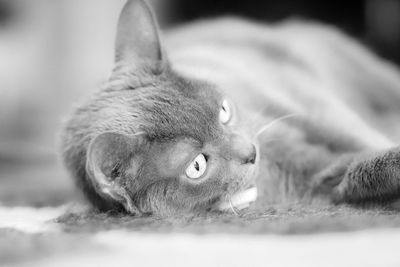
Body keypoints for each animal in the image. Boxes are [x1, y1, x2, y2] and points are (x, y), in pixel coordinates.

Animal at [58, 0, 400, 218]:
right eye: (197, 165)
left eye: (224, 111)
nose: (250, 152)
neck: (272, 169)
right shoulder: (318, 180)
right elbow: (355, 171)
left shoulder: (302, 107)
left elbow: (348, 133)